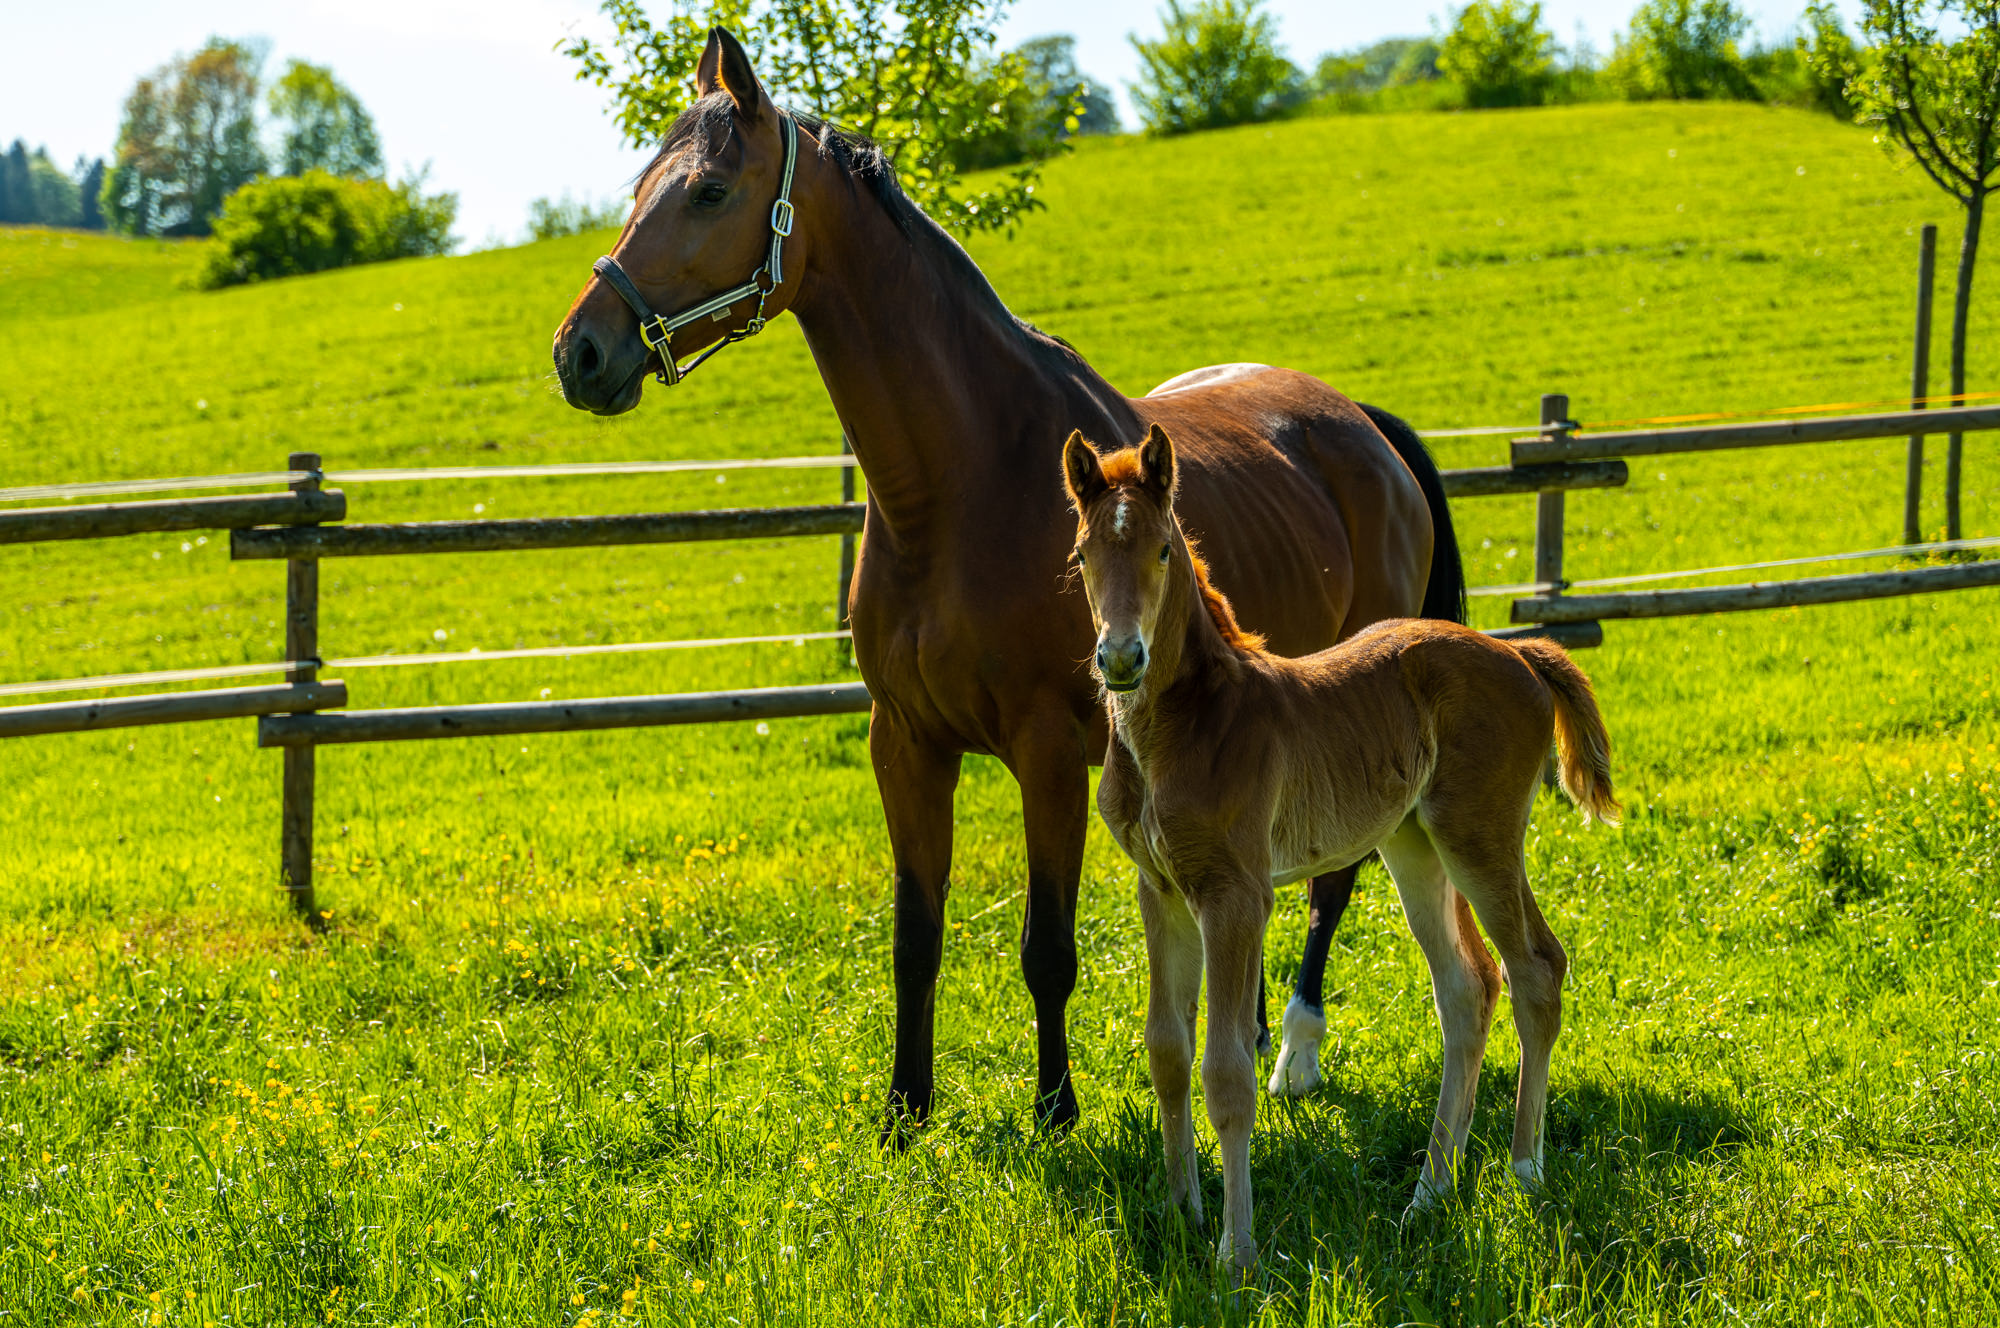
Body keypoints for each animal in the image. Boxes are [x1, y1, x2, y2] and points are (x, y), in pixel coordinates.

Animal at [550, 27, 1468, 1134]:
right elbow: (915, 937)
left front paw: (1055, 1109)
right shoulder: (903, 744)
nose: (579, 351)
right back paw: (1249, 1037)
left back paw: (1293, 1053)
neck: (960, 484)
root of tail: (1362, 428)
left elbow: (1046, 948)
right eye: (643, 184)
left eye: (709, 191)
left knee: (1334, 882)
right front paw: (904, 1112)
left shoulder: (1046, 753)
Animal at [1061, 424, 1616, 1273]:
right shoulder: (1160, 890)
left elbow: (1227, 1069)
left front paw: (1237, 1255)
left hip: (1479, 835)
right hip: (1415, 844)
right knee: (1468, 987)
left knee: (1535, 967)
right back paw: (1430, 1193)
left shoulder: (1236, 894)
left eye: (1161, 549)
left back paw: (1525, 1168)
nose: (1121, 659)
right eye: (1084, 553)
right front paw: (1183, 1210)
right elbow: (1166, 1050)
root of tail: (1519, 655)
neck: (1186, 726)